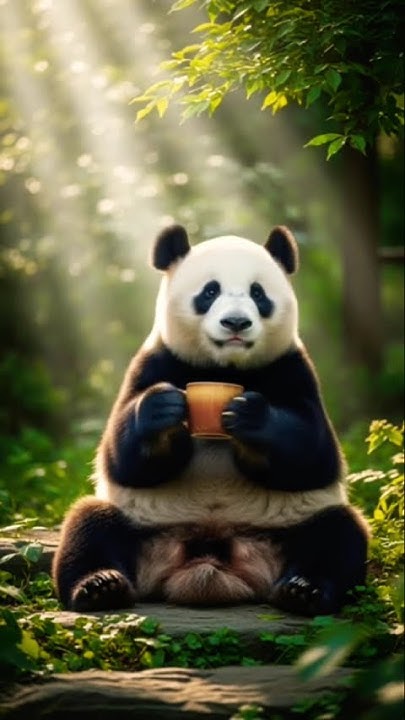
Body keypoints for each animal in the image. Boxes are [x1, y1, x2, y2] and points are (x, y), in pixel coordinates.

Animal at [53, 224, 369, 616]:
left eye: (258, 293)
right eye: (210, 291)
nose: (236, 322)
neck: (222, 369)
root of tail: (211, 564)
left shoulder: (293, 368)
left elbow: (314, 454)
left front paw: (250, 416)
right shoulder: (154, 361)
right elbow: (122, 460)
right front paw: (161, 410)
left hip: (288, 527)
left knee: (338, 534)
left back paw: (303, 591)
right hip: (144, 525)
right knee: (90, 525)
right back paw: (99, 587)